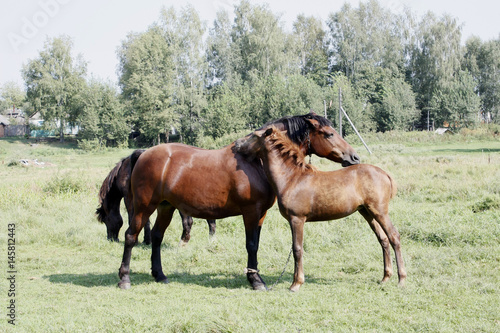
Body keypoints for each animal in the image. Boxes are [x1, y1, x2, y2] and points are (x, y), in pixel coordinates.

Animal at [118, 111, 360, 288]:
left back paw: (160, 275)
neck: (256, 162)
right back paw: (124, 279)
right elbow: (251, 245)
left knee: (157, 237)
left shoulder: (261, 213)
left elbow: (256, 244)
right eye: (329, 134)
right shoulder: (250, 211)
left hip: (165, 207)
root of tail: (144, 154)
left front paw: (255, 275)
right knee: (131, 236)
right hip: (144, 207)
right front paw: (256, 281)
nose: (354, 157)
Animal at [237, 127, 406, 290]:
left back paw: (401, 279)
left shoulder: (297, 219)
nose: (238, 145)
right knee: (383, 239)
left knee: (394, 236)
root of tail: (385, 174)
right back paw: (385, 278)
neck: (291, 178)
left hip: (379, 211)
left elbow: (297, 249)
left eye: (254, 135)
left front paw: (296, 284)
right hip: (367, 212)